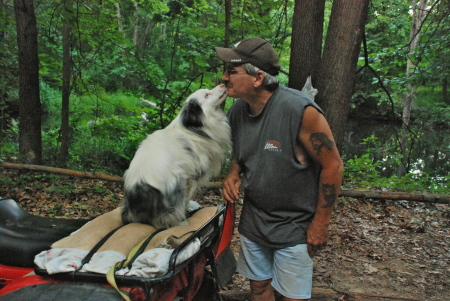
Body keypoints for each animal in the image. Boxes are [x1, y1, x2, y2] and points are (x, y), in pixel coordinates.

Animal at [120, 84, 230, 227]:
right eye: (207, 95)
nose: (223, 84)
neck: (192, 129)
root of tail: (140, 186)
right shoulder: (192, 177)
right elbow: (186, 200)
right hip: (178, 182)